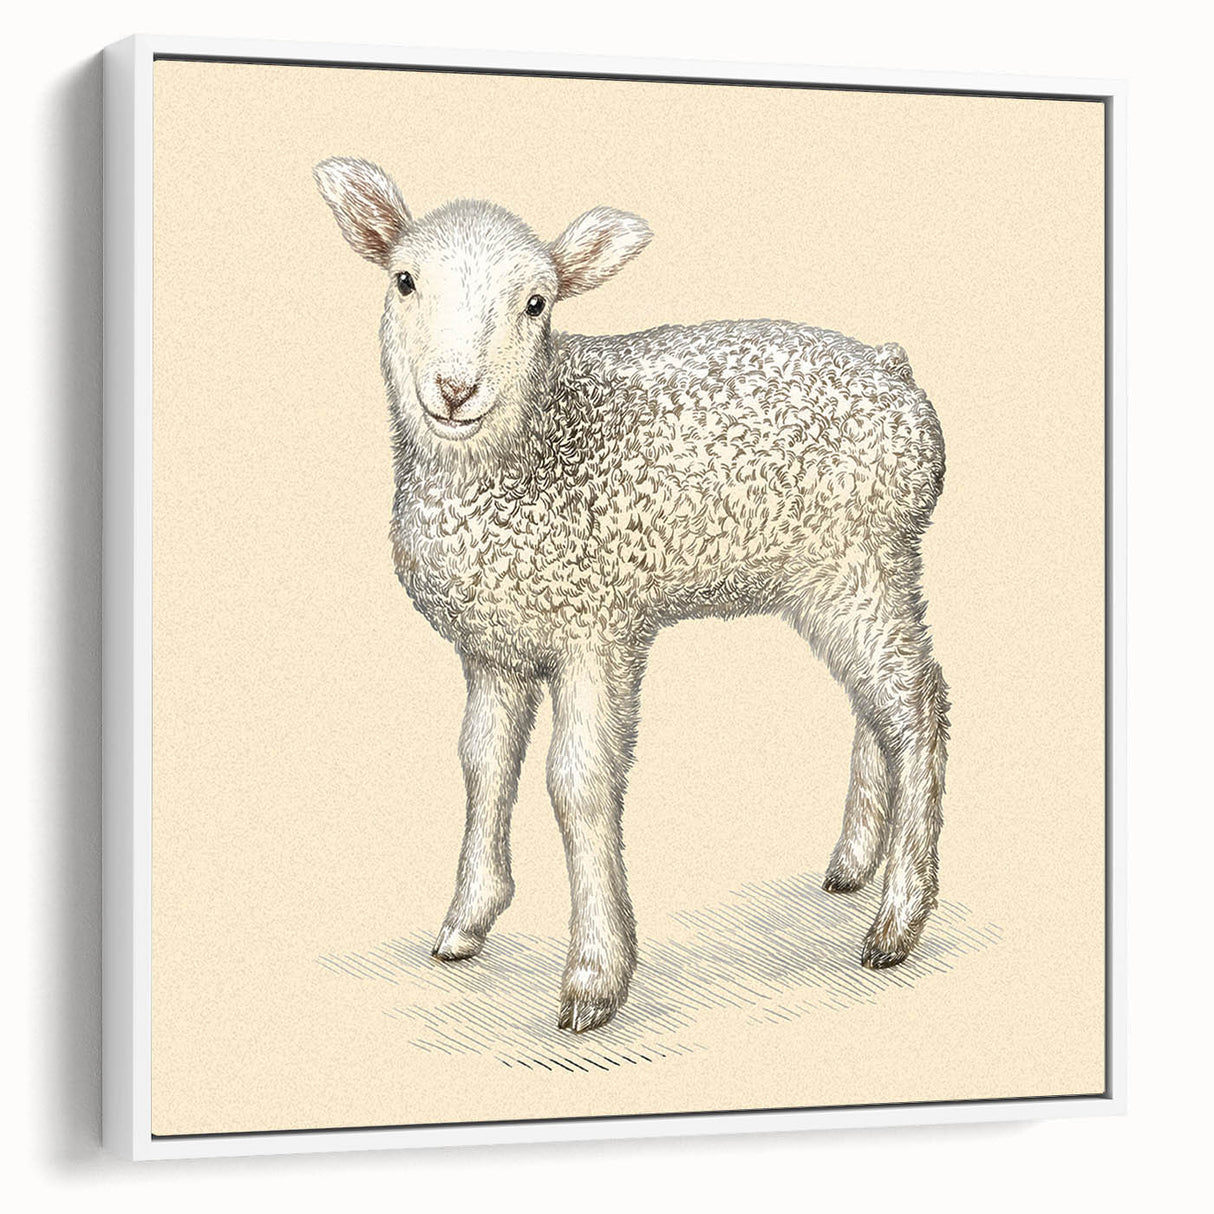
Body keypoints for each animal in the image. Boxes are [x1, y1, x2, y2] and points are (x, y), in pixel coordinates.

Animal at [314, 156, 950, 1035]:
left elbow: (577, 785)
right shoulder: (495, 647)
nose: (455, 389)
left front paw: (594, 978)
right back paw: (855, 863)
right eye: (404, 280)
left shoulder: (598, 627)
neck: (521, 453)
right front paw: (466, 921)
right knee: (876, 704)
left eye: (537, 303)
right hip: (845, 576)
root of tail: (896, 369)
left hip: (862, 561)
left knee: (917, 704)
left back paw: (897, 919)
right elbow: (482, 765)